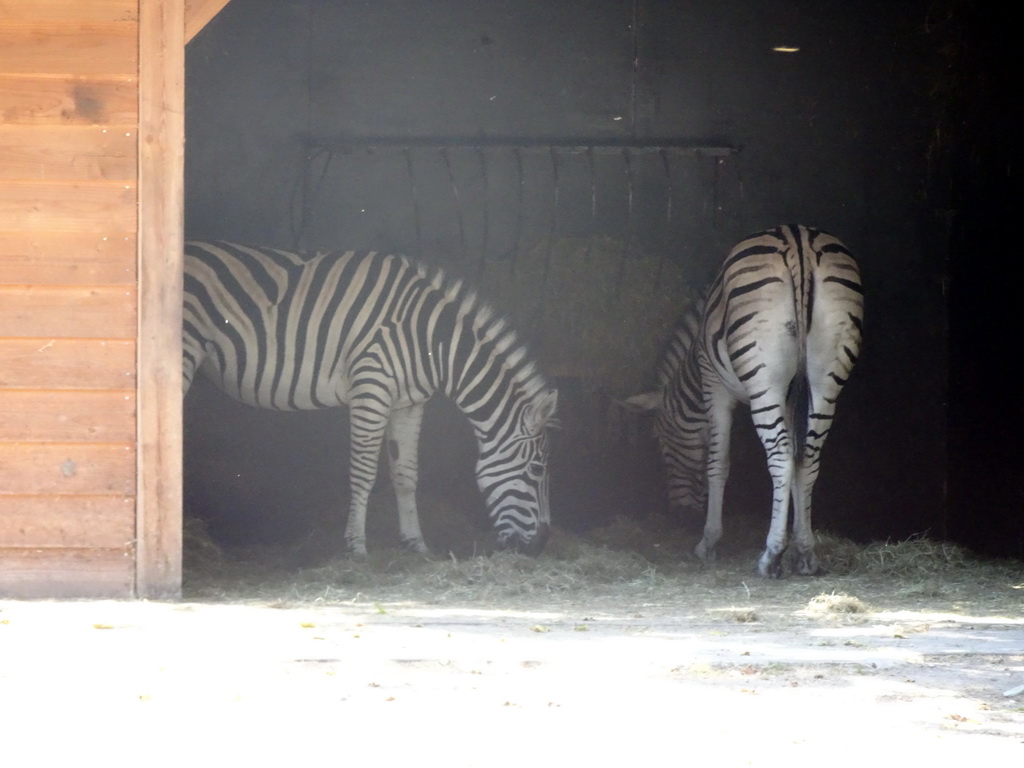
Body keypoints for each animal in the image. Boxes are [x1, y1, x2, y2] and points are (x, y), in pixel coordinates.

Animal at [180, 241, 557, 561]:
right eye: (538, 469)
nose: (541, 546)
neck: (432, 341)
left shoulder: (409, 402)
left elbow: (406, 473)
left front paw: (417, 544)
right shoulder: (371, 387)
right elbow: (363, 472)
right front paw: (357, 547)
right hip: (184, 352)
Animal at [626, 225, 860, 581]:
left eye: (662, 445)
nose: (679, 516)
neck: (694, 364)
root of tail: (799, 241)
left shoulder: (714, 386)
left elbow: (718, 463)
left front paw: (708, 542)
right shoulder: (790, 398)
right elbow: (796, 462)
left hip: (763, 378)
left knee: (780, 456)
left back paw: (771, 557)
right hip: (826, 377)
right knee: (807, 457)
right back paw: (806, 554)